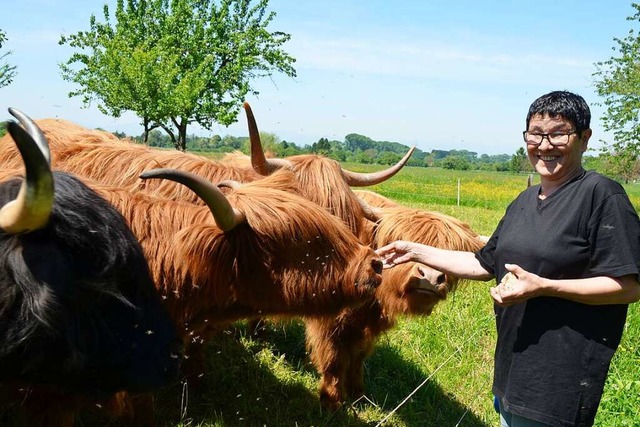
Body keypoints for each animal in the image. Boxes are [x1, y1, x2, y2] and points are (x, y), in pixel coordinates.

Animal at [304, 196, 484, 410]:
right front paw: (332, 402)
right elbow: (334, 360)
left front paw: (358, 395)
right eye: (401, 240)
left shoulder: (366, 326)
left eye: (450, 251)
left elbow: (358, 357)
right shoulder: (328, 321)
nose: (430, 277)